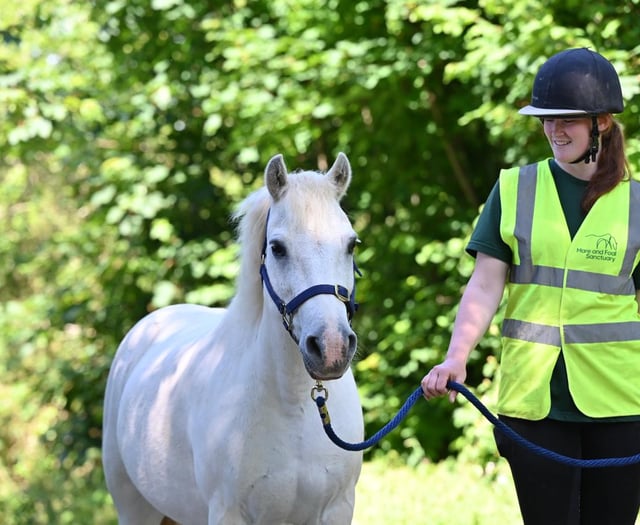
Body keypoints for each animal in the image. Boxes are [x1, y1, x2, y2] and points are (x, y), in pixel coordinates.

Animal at [102, 153, 364, 525]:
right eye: (277, 248)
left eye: (351, 244)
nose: (331, 348)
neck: (295, 408)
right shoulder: (228, 512)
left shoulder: (337, 509)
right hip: (134, 507)